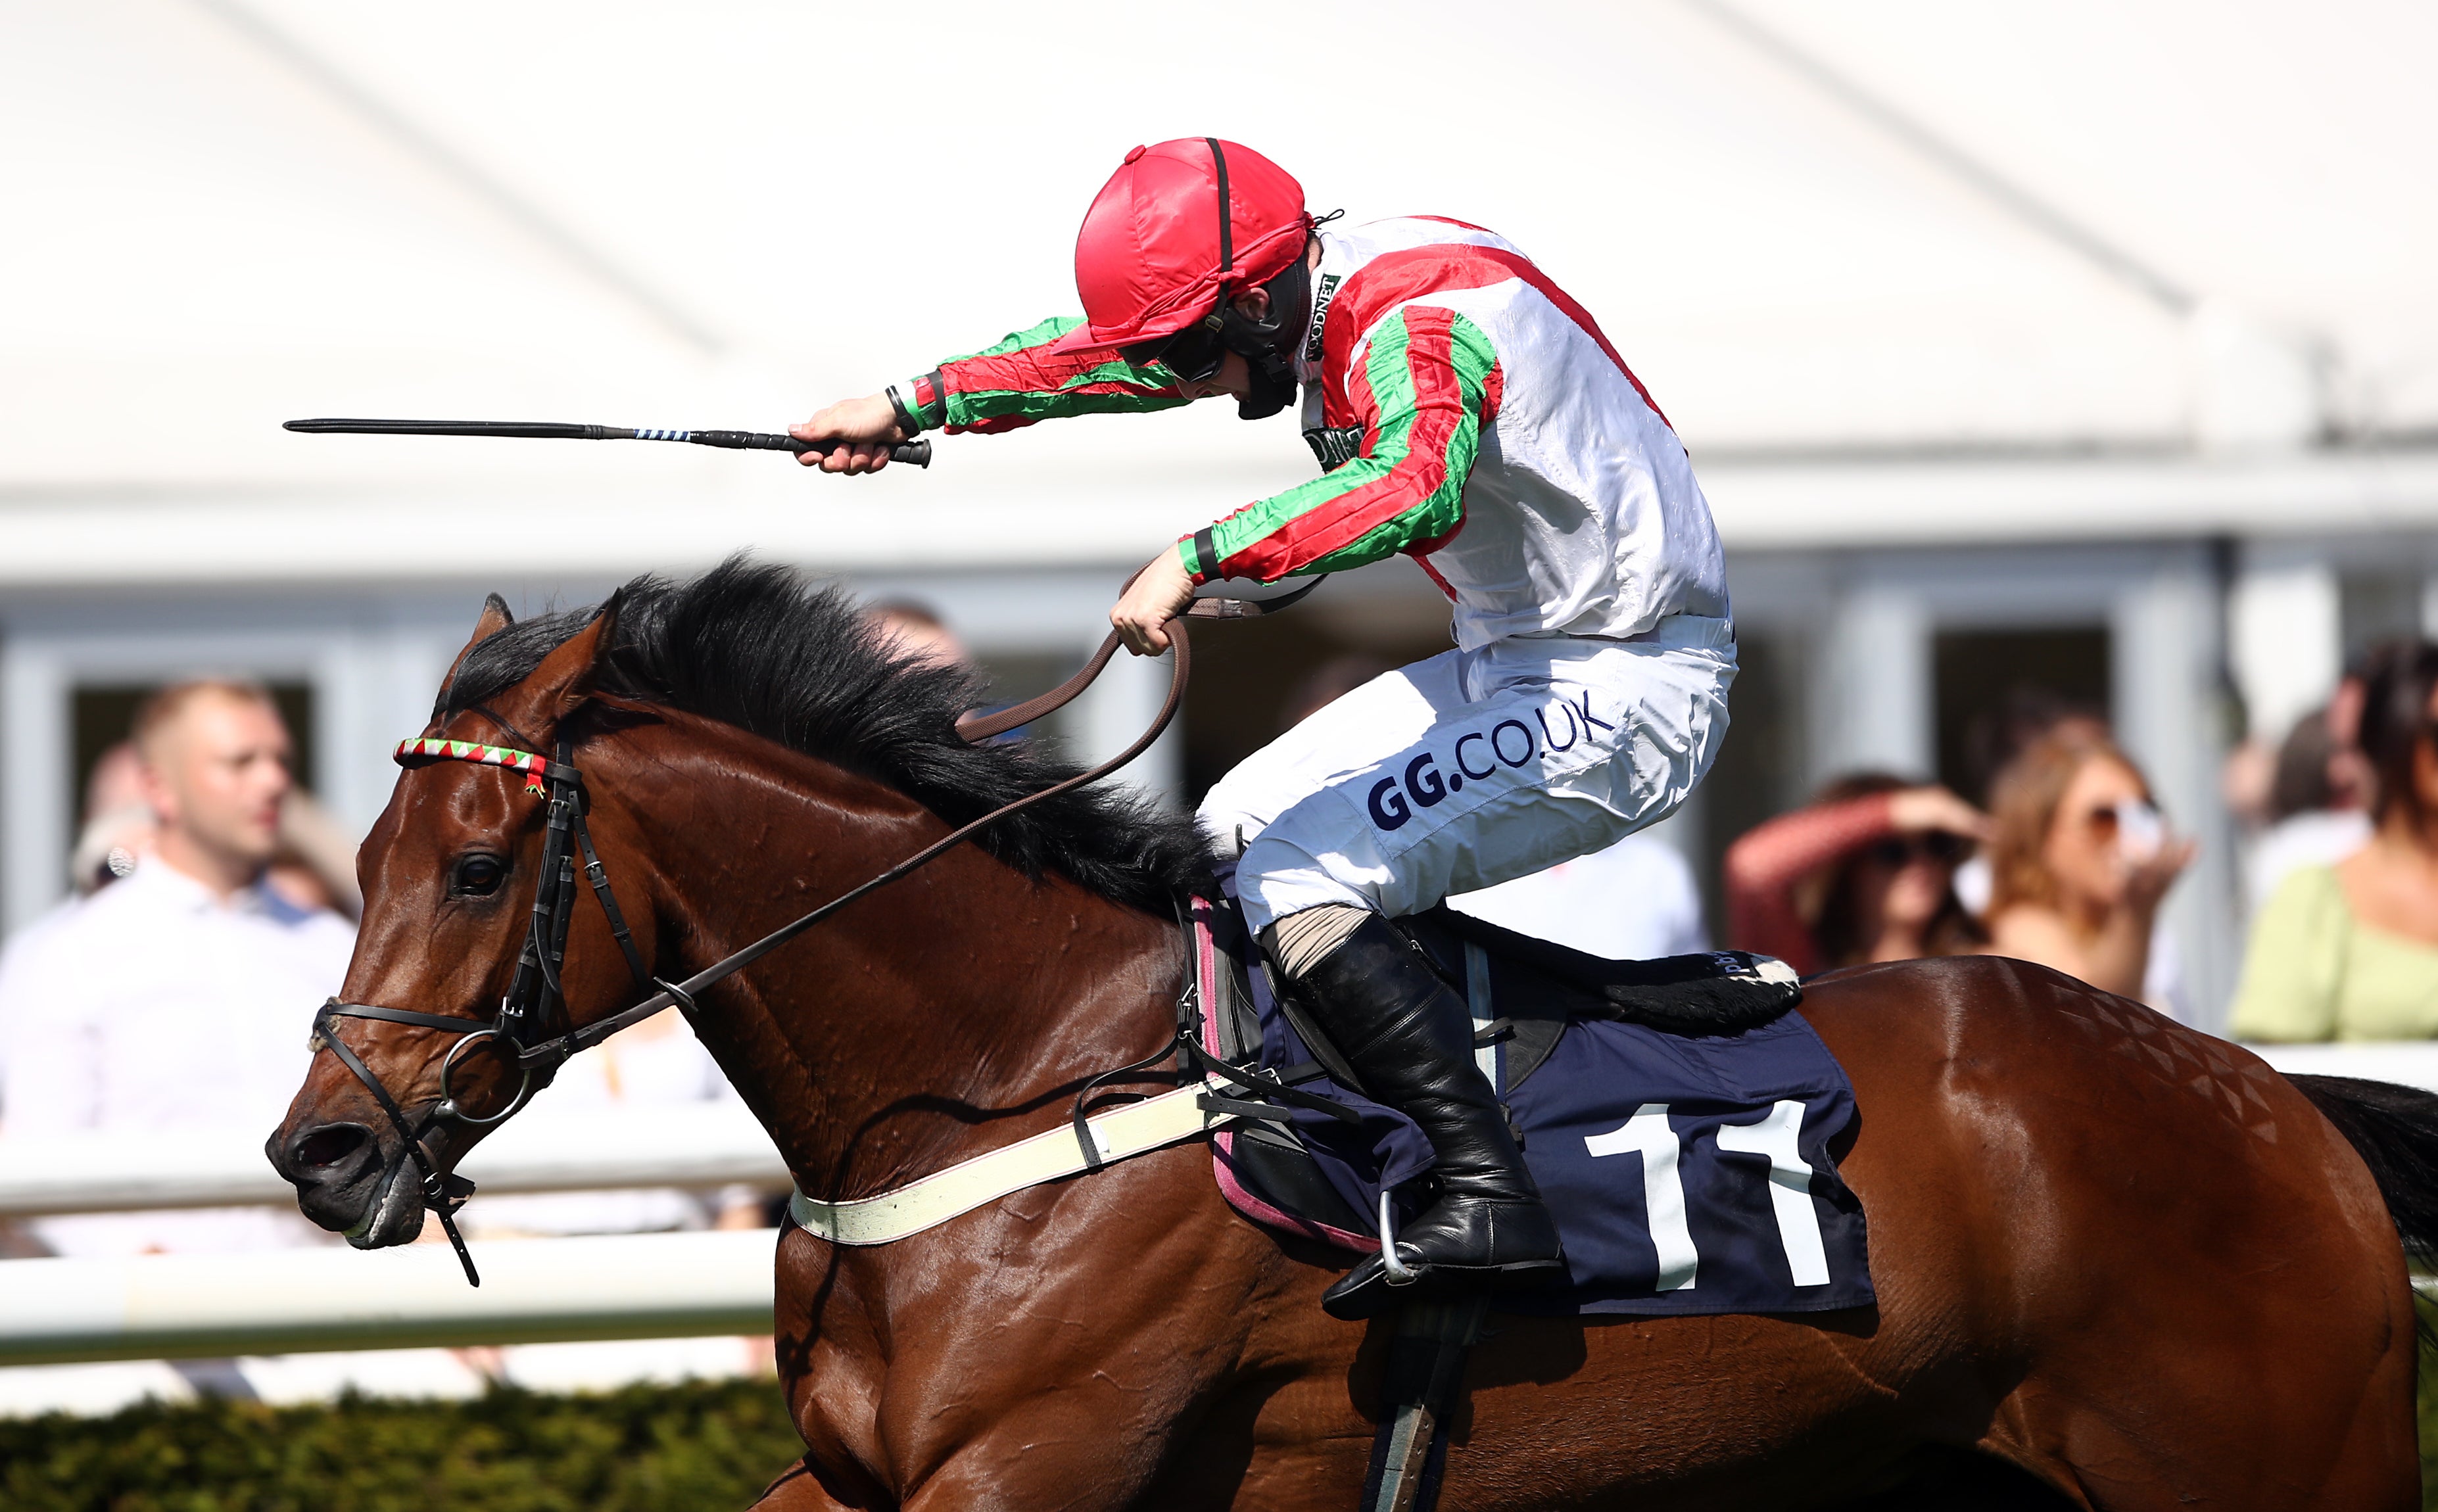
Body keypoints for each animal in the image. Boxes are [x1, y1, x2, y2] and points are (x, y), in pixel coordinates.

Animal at [276, 563, 2428, 1512]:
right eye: (352, 854)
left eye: (478, 864)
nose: (322, 1147)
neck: (1014, 1084)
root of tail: (2277, 1107)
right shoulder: (864, 1477)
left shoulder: (1029, 1471)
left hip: (2262, 1467)